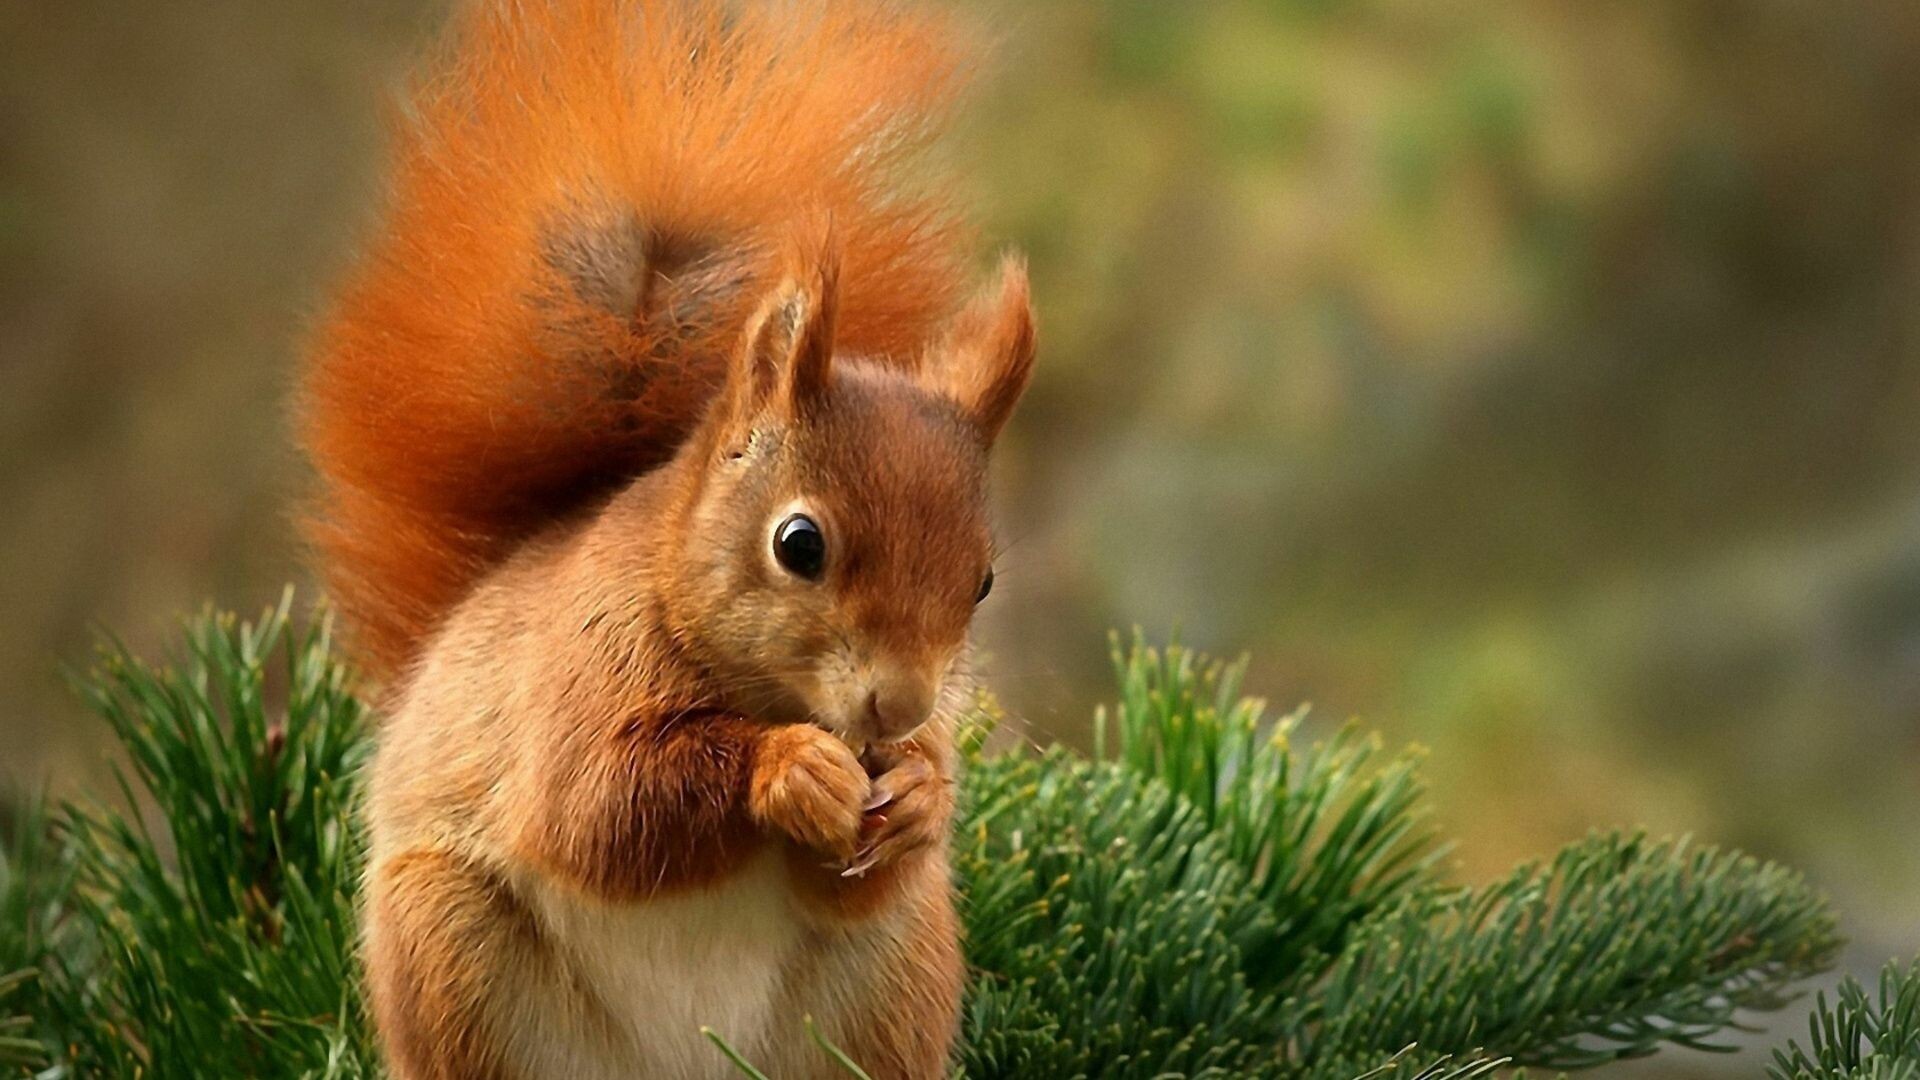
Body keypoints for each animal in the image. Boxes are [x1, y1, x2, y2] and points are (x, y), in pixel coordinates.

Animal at [301, 4, 1044, 1068]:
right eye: (798, 544)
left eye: (981, 582)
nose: (899, 708)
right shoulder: (577, 677)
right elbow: (598, 808)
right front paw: (789, 768)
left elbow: (857, 874)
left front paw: (920, 798)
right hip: (447, 949)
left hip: (894, 979)